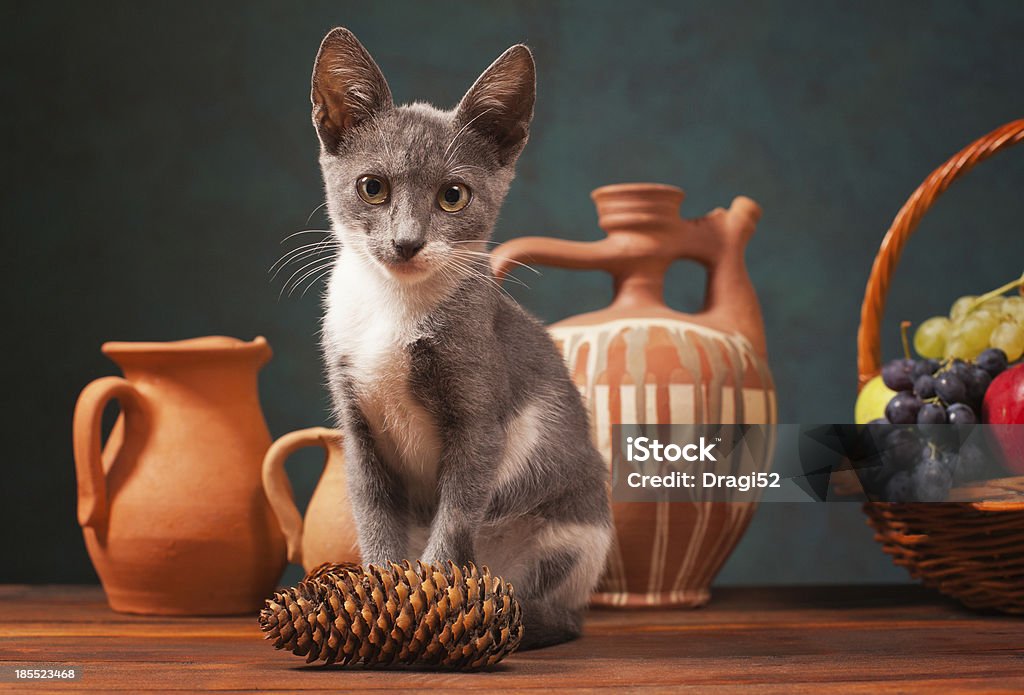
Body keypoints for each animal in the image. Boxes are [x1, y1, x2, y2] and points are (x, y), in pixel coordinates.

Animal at [311, 25, 610, 646]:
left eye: (453, 196)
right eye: (372, 187)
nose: (406, 243)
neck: (394, 308)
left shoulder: (479, 417)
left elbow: (454, 517)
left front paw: (429, 592)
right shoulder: (357, 425)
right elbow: (374, 515)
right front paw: (381, 592)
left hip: (574, 530)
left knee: (558, 605)